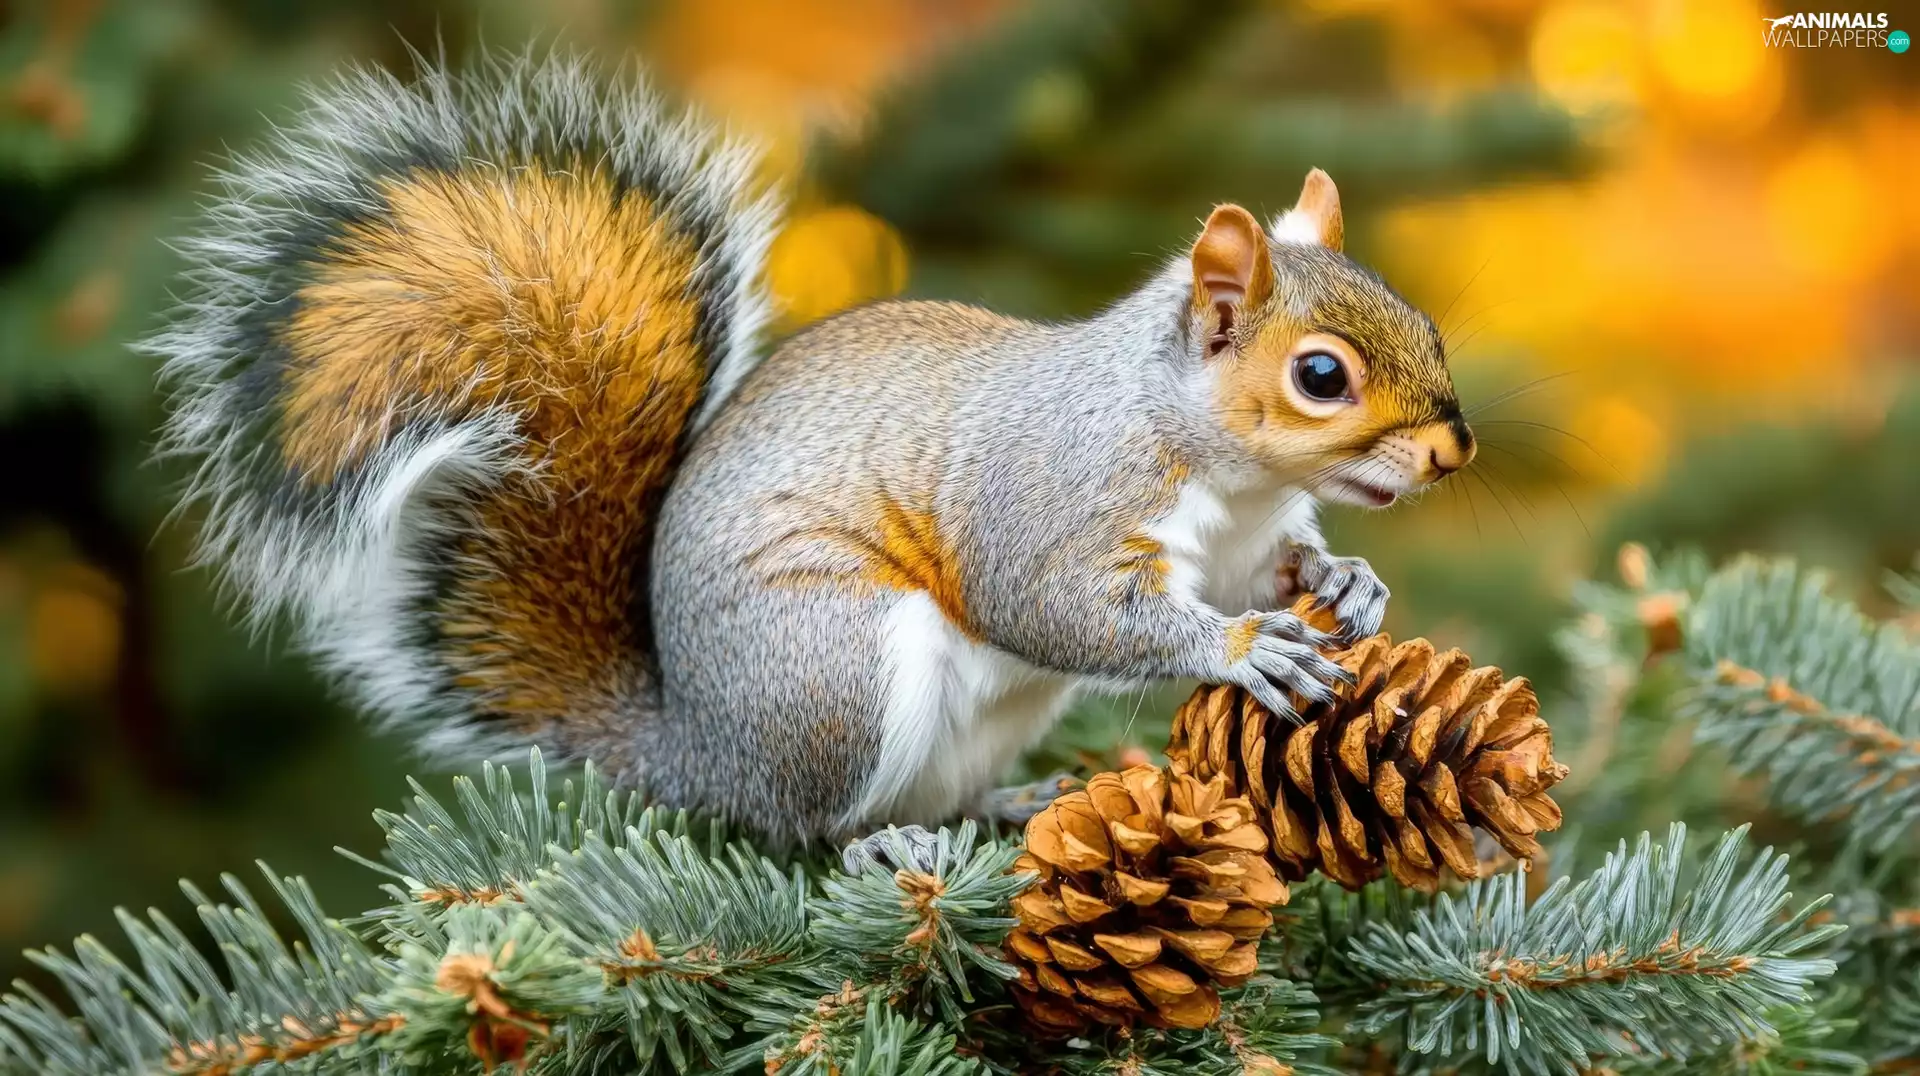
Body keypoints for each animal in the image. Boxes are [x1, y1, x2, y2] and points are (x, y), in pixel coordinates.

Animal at [150, 53, 1474, 851]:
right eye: (1320, 376)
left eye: (1424, 318)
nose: (1455, 453)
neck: (1230, 475)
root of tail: (700, 753)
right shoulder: (1055, 492)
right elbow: (1053, 604)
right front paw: (1245, 648)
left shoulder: (1244, 535)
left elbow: (1271, 570)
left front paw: (1345, 582)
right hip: (835, 672)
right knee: (808, 828)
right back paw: (884, 843)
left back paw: (1013, 802)